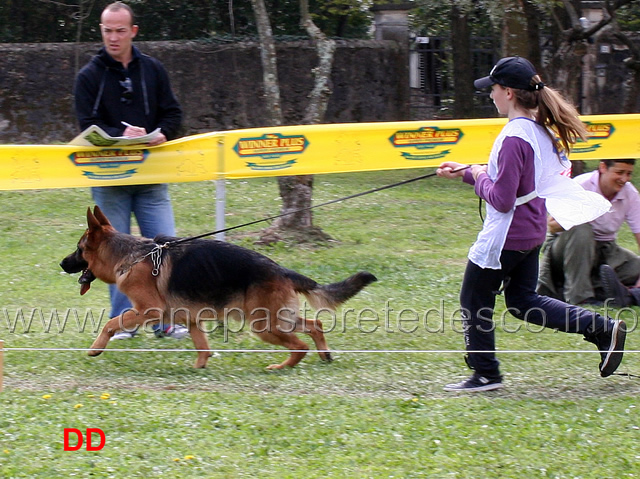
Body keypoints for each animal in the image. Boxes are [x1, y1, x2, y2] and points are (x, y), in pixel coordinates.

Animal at [60, 207, 376, 372]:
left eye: (78, 250)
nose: (61, 263)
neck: (131, 256)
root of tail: (280, 270)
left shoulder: (148, 310)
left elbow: (111, 323)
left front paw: (96, 348)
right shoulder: (189, 318)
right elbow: (202, 345)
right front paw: (200, 366)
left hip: (264, 325)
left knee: (300, 345)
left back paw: (282, 366)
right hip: (275, 319)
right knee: (315, 325)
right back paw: (324, 355)